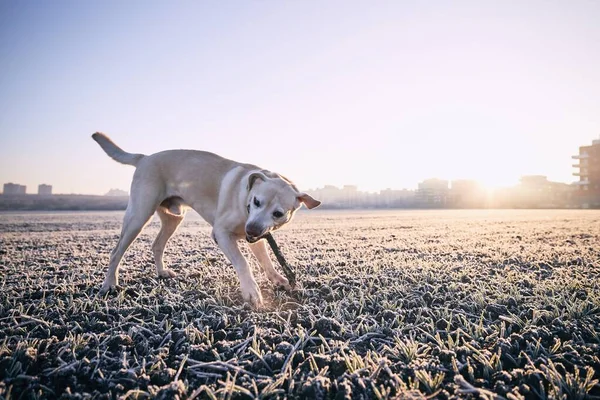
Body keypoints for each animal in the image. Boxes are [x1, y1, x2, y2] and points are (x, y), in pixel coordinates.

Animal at [91, 134, 322, 306]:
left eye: (278, 213)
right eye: (257, 201)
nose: (252, 230)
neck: (245, 202)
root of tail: (145, 157)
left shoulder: (258, 237)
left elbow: (265, 261)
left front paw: (278, 279)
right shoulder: (221, 233)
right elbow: (243, 263)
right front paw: (252, 292)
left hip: (173, 218)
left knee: (157, 245)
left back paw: (162, 272)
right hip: (139, 216)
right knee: (116, 252)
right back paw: (109, 284)